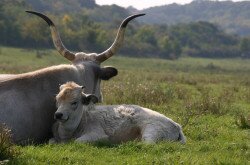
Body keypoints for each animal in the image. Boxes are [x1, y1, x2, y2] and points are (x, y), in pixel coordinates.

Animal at [49, 82, 186, 144]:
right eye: (57, 99)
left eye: (74, 102)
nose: (58, 115)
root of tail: (176, 125)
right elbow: (51, 141)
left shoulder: (98, 134)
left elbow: (78, 141)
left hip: (151, 132)